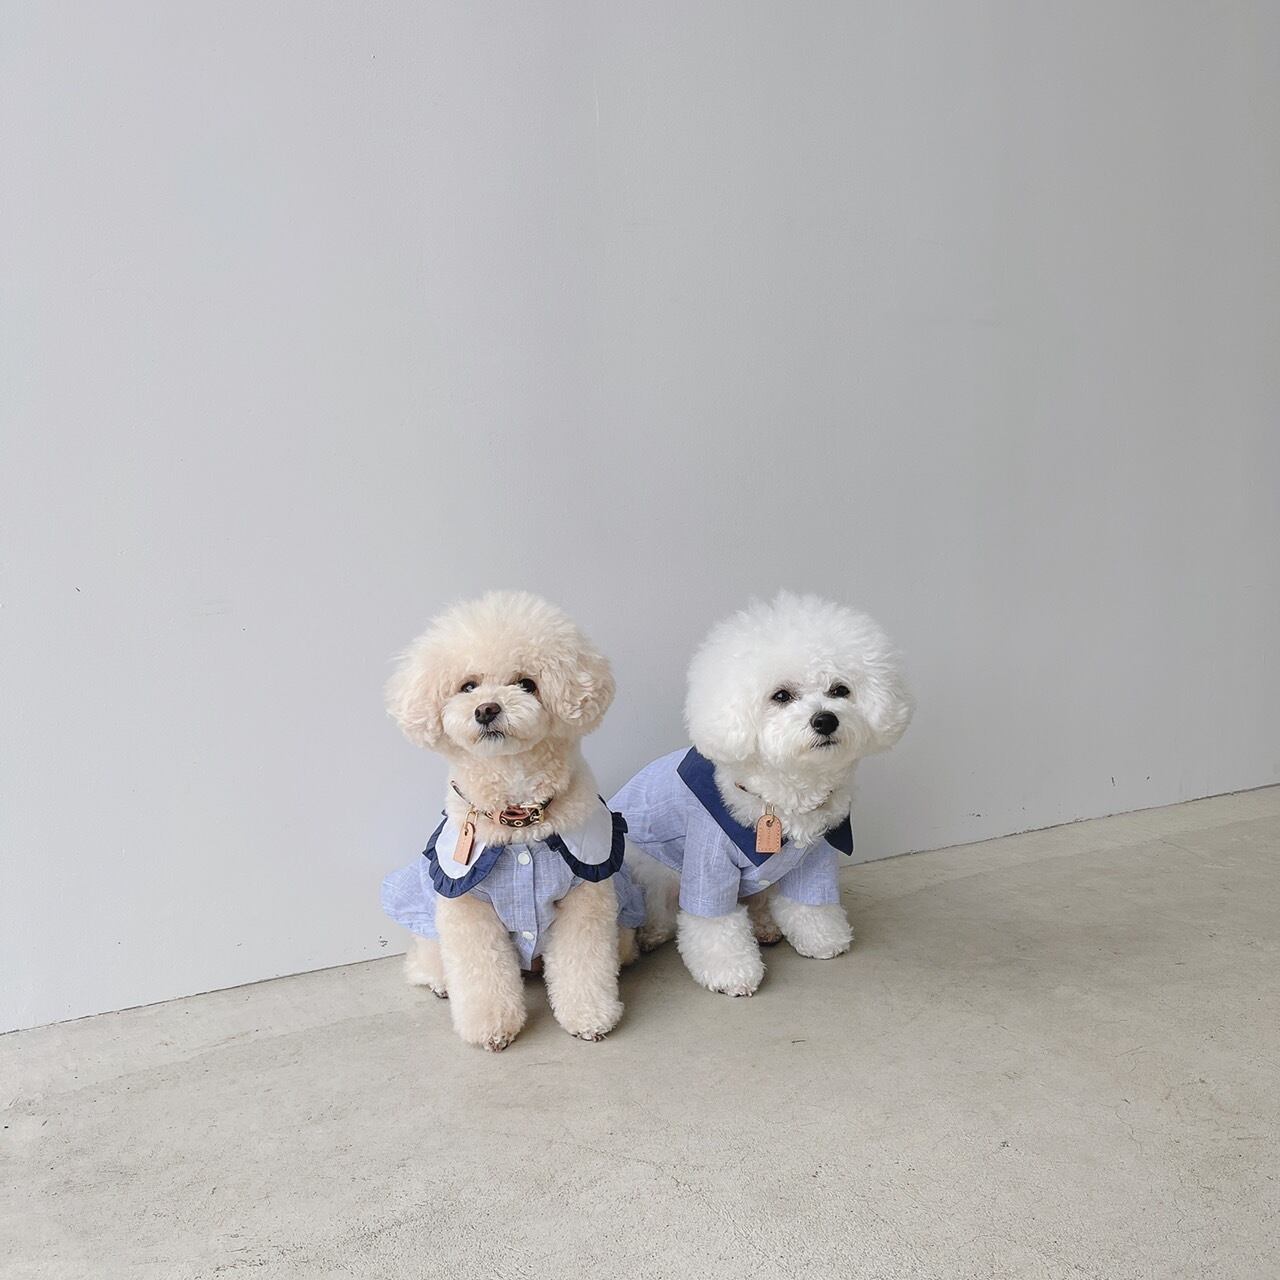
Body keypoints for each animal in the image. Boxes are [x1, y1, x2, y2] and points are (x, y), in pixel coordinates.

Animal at [381, 591, 642, 1050]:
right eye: (467, 686)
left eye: (526, 683)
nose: (487, 709)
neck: (518, 816)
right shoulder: (466, 906)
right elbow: (481, 972)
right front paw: (490, 1028)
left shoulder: (586, 896)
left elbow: (583, 963)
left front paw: (589, 1017)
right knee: (425, 957)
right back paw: (437, 979)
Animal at [611, 592, 912, 996]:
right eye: (781, 696)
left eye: (840, 690)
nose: (825, 719)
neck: (784, 795)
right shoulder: (709, 862)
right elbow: (715, 923)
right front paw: (731, 972)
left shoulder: (814, 856)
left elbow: (811, 904)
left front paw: (821, 938)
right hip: (650, 869)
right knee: (660, 908)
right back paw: (652, 934)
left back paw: (767, 927)